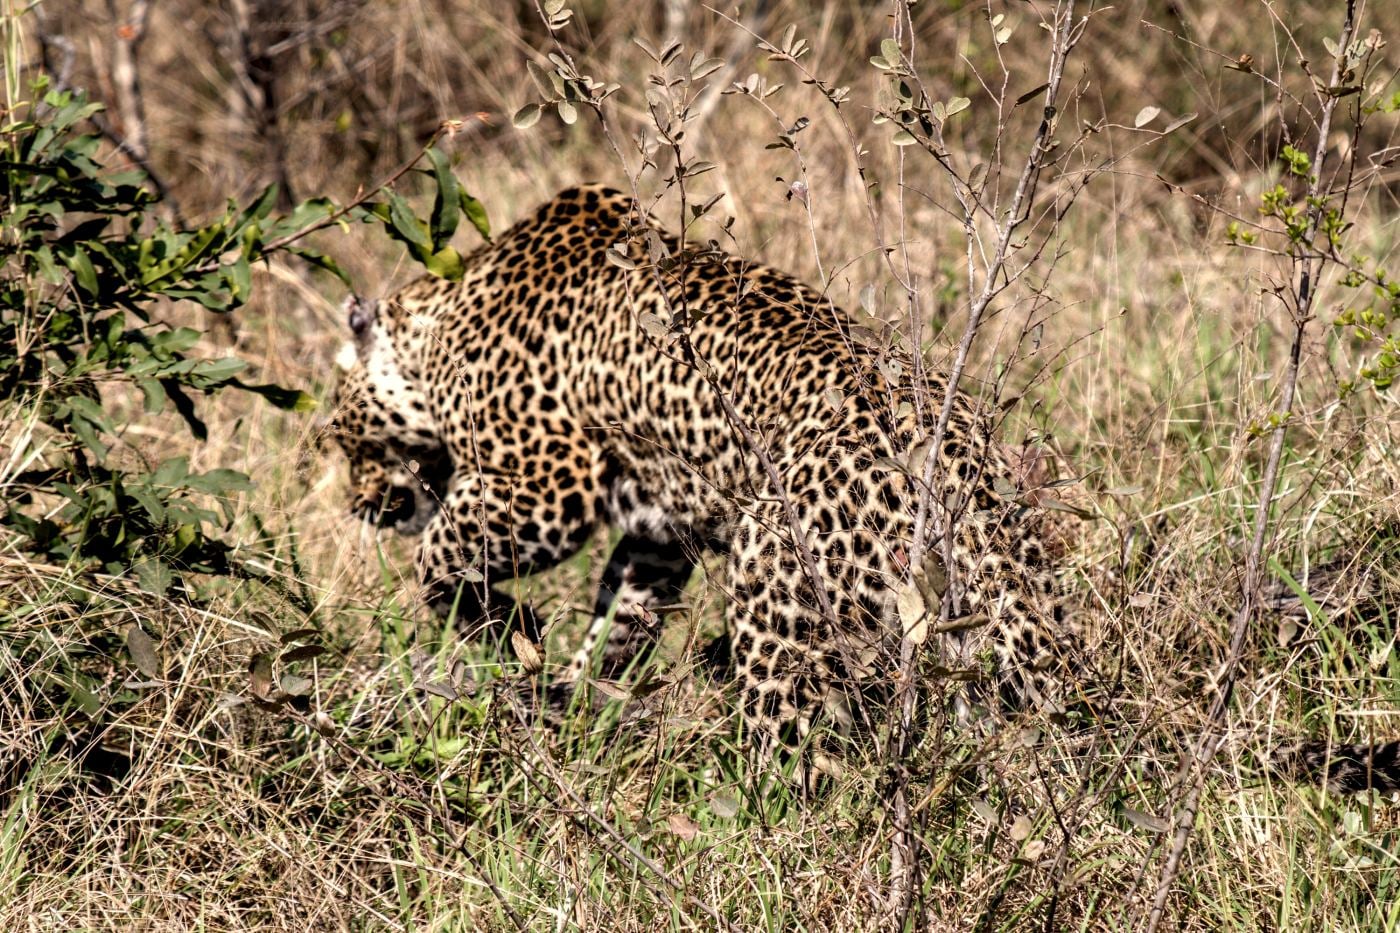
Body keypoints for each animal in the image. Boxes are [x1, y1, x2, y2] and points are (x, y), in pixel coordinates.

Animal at [326, 184, 1400, 792]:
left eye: (338, 437)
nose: (353, 503)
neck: (437, 326)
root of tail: (962, 468)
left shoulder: (547, 475)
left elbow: (446, 548)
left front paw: (495, 625)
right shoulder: (653, 526)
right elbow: (622, 611)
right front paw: (577, 683)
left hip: (773, 572)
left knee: (801, 752)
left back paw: (759, 824)